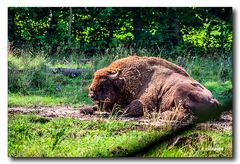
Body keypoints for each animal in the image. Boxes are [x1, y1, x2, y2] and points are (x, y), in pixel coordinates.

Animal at [89, 56, 220, 121]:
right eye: (94, 79)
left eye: (104, 83)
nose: (91, 94)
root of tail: (213, 100)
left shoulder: (145, 103)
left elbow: (126, 110)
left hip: (180, 92)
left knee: (183, 114)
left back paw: (158, 115)